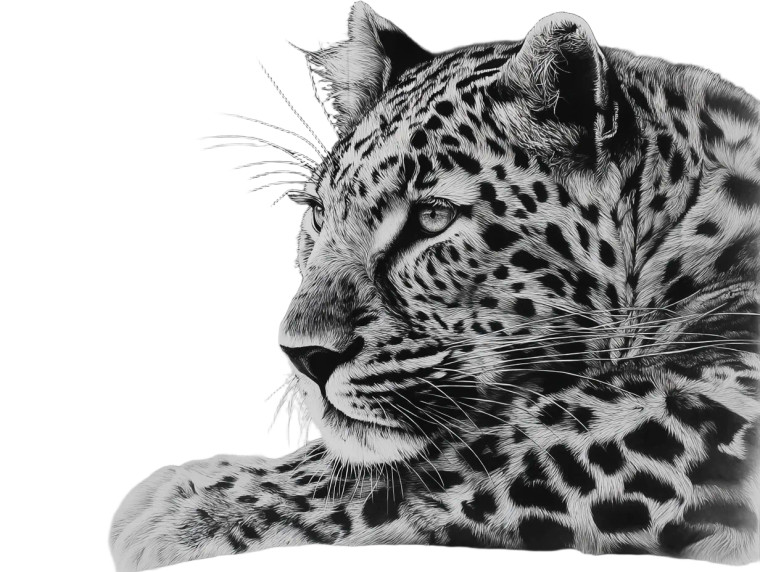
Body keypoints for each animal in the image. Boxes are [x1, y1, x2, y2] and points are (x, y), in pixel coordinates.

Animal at [110, 3, 760, 570]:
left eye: (433, 218)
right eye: (318, 213)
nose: (303, 356)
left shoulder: (718, 395)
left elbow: (491, 446)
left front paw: (183, 502)